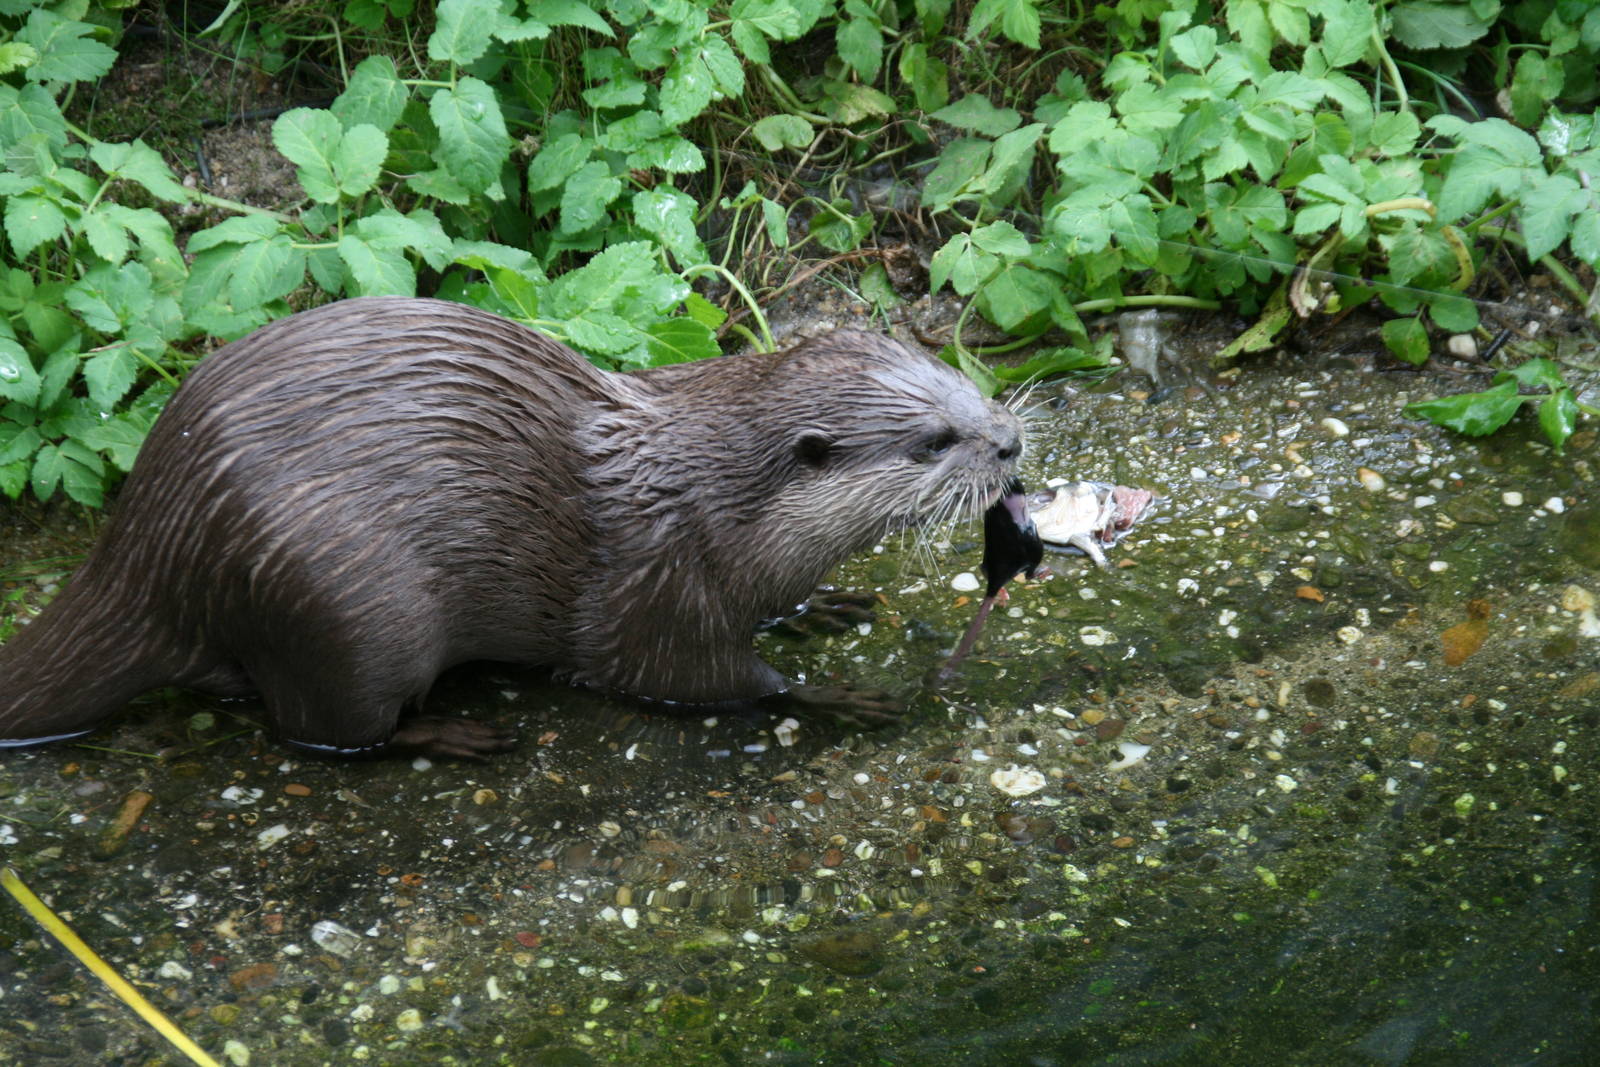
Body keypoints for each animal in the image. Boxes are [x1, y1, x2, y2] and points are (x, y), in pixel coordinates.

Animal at [0, 297, 1024, 757]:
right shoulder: (659, 583)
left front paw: (820, 606)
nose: (1011, 440)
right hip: (343, 606)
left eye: (965, 380)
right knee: (319, 728)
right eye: (935, 440)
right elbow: (696, 678)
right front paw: (835, 695)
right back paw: (451, 735)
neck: (713, 502)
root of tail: (148, 541)